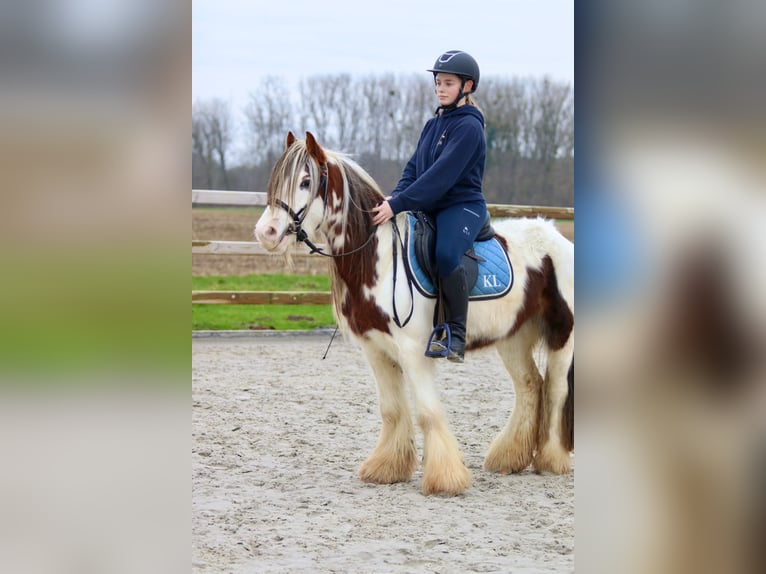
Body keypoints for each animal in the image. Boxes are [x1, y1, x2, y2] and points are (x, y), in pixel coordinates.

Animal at [255, 133, 572, 498]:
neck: (377, 258)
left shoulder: (413, 351)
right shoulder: (375, 350)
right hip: (513, 337)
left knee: (556, 390)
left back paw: (552, 460)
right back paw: (509, 457)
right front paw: (386, 467)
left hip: (563, 336)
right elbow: (392, 411)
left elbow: (429, 413)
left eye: (306, 181)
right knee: (530, 385)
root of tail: (558, 239)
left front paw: (445, 479)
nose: (266, 232)